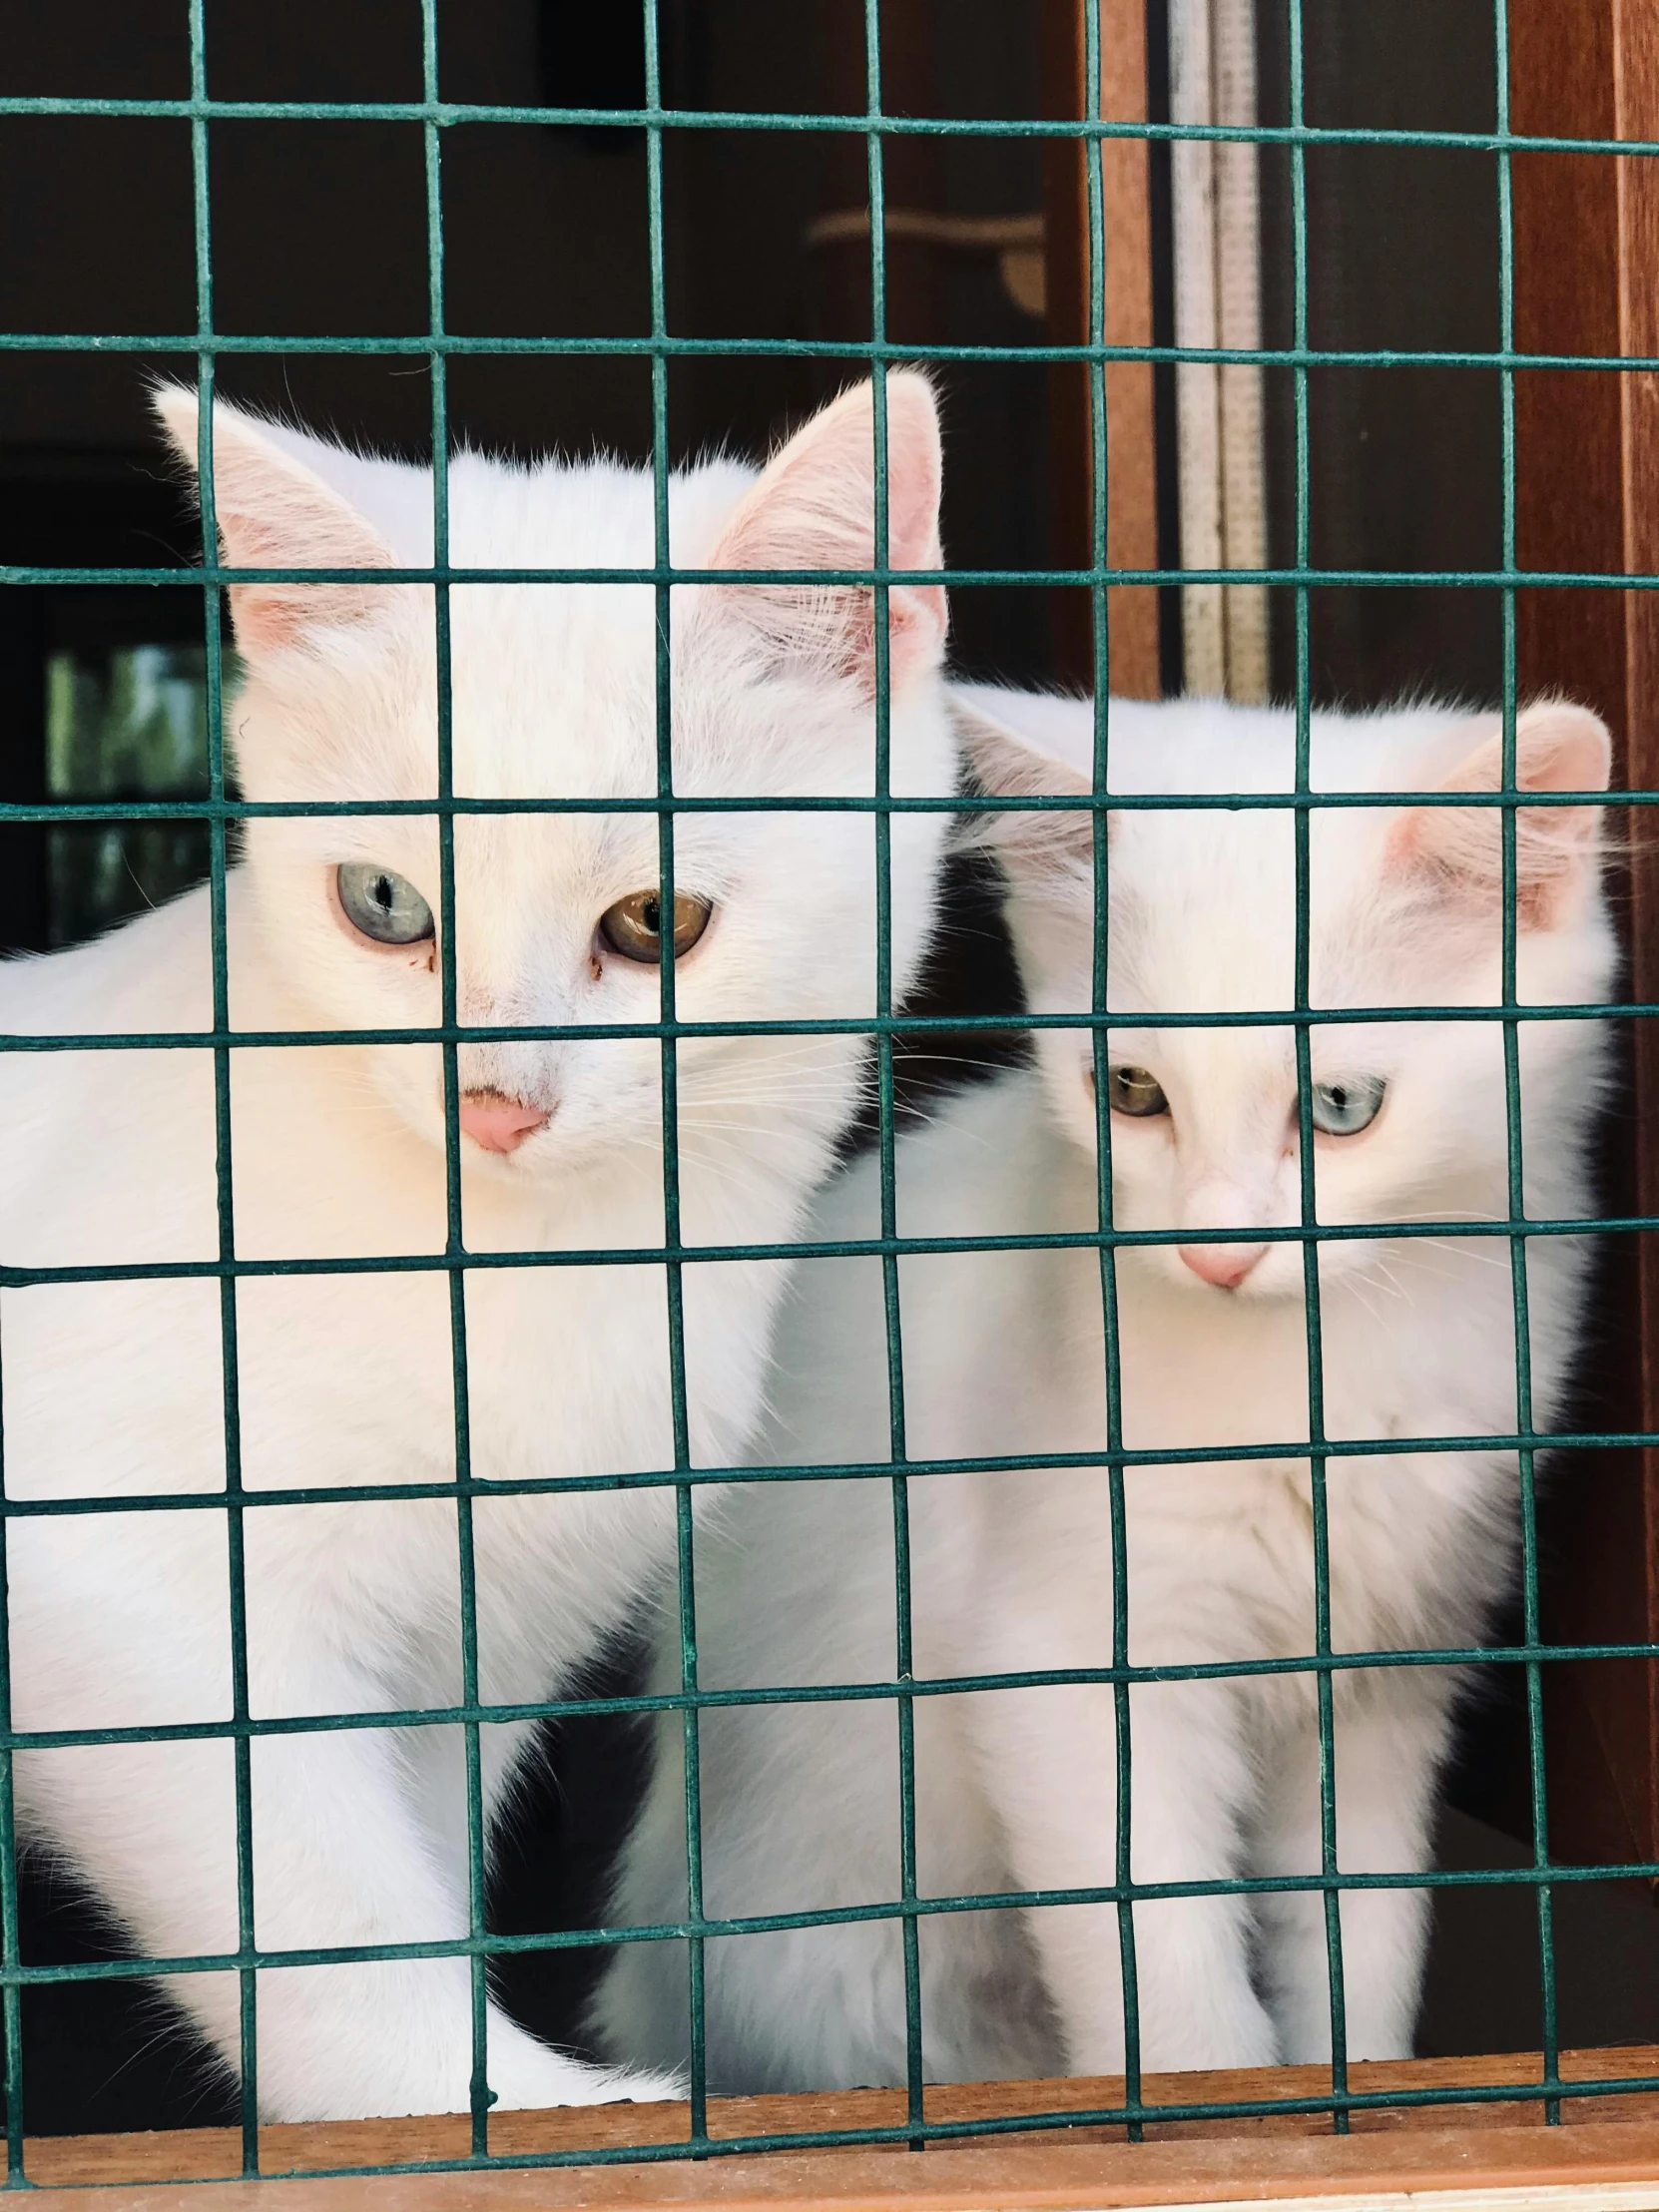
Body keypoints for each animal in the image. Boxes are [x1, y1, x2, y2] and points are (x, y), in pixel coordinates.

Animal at [0, 371, 959, 2114]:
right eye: (383, 902)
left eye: (655, 923)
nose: (494, 1100)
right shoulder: (113, 1583)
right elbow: (319, 1909)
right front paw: (521, 2110)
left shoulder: (476, 1641)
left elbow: (424, 1856)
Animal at [601, 685, 1627, 2087]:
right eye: (1132, 1090)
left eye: (1340, 1104)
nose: (1219, 1249)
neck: (1329, 1364)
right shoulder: (1073, 1671)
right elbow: (1174, 1987)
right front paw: (1227, 2109)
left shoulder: (1378, 1681)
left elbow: (1359, 1944)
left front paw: (1357, 2088)